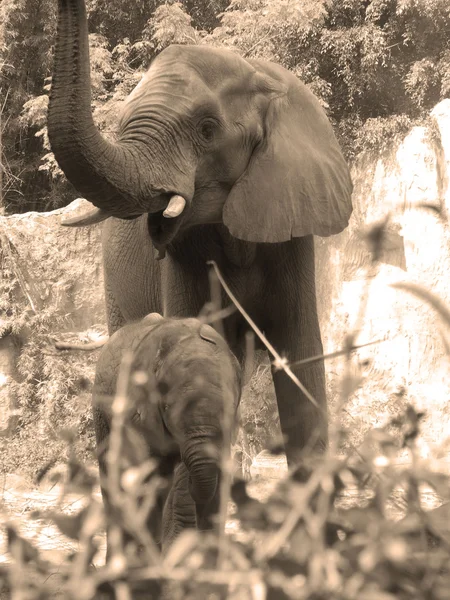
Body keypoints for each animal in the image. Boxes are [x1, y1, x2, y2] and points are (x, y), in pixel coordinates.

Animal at [92, 314, 243, 552]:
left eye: (229, 409)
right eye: (166, 407)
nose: (190, 482)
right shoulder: (134, 406)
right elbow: (144, 473)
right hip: (102, 410)